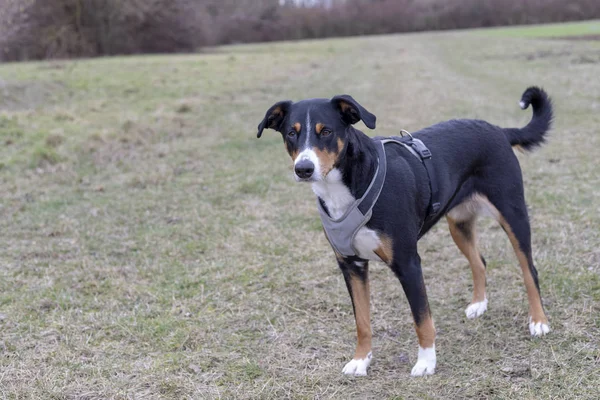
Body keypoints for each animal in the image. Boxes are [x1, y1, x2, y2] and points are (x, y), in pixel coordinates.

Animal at [255, 86, 552, 376]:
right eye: (291, 133)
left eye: (326, 131)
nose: (304, 169)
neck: (347, 188)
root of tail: (498, 130)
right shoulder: (351, 265)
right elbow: (362, 321)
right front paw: (361, 360)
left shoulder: (408, 263)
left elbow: (422, 319)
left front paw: (426, 362)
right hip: (459, 224)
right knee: (479, 261)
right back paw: (479, 304)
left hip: (513, 214)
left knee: (530, 271)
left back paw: (538, 321)